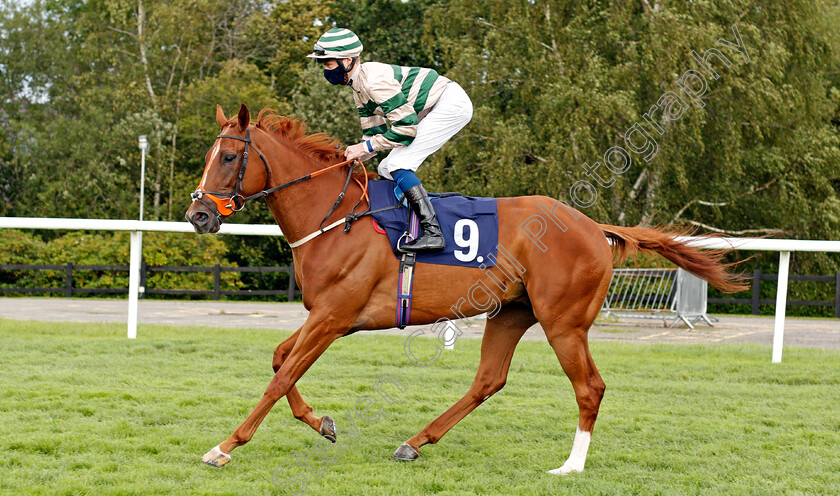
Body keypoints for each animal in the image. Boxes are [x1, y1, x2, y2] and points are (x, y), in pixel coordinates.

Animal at [187, 103, 744, 472]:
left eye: (229, 159)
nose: (198, 215)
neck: (336, 216)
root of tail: (594, 227)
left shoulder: (334, 317)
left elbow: (280, 375)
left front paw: (224, 446)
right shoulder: (327, 317)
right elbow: (281, 360)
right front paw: (322, 422)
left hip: (563, 322)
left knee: (589, 387)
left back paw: (571, 466)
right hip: (511, 312)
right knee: (488, 380)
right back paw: (415, 441)